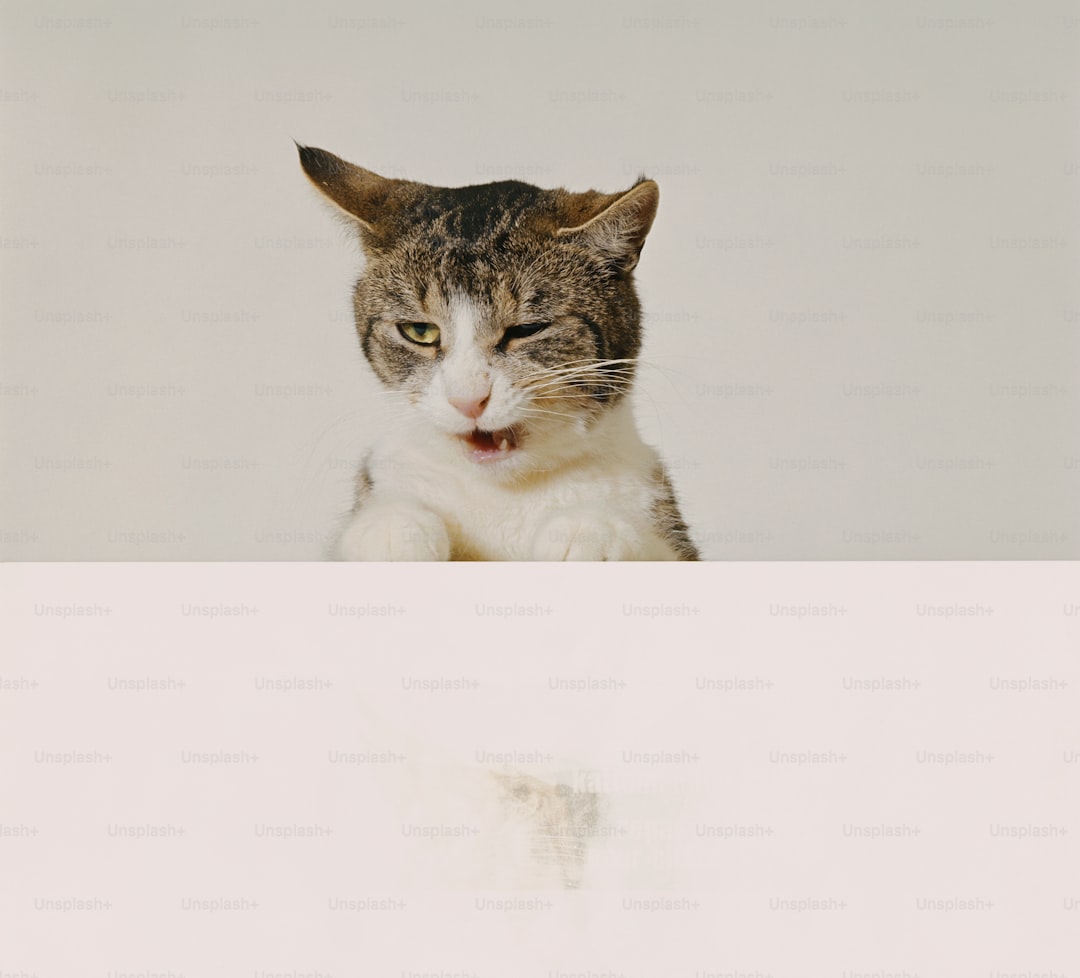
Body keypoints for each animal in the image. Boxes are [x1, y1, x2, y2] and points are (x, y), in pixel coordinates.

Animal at [300, 141, 695, 561]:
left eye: (527, 329)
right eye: (420, 331)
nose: (468, 400)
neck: (505, 492)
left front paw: (590, 529)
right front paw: (392, 530)